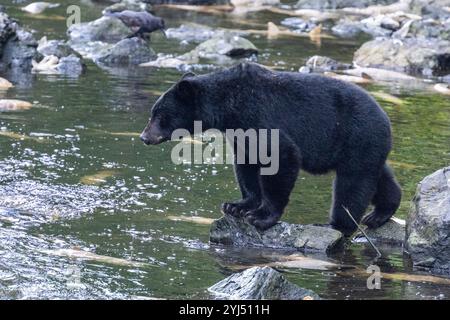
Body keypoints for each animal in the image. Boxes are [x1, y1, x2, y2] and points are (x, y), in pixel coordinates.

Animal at [140, 63, 400, 238]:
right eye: (153, 112)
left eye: (160, 115)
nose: (144, 136)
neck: (228, 105)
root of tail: (386, 119)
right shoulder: (240, 131)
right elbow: (246, 164)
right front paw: (237, 205)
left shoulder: (260, 117)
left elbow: (281, 158)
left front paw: (261, 216)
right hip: (364, 146)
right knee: (377, 176)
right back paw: (382, 212)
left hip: (357, 136)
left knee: (353, 183)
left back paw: (337, 224)